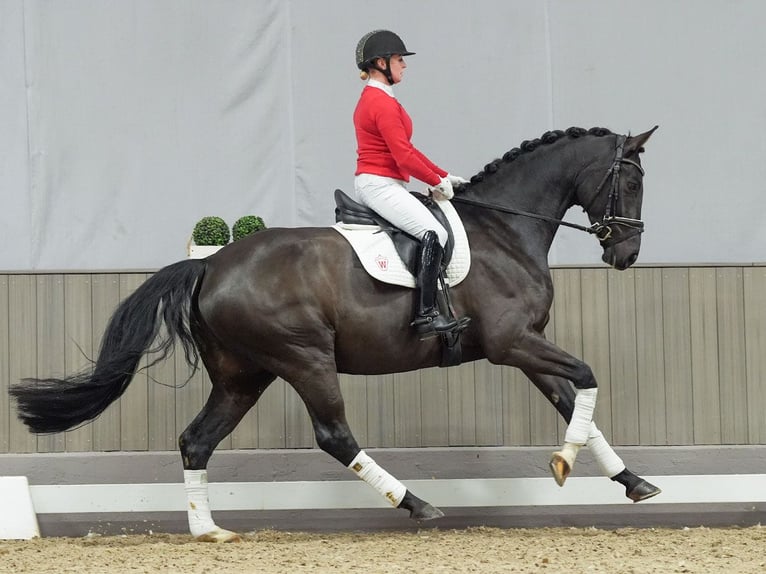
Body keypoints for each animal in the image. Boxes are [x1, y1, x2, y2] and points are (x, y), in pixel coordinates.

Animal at [10, 127, 660, 544]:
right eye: (631, 183)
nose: (626, 255)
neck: (505, 230)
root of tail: (210, 265)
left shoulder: (524, 347)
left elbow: (575, 404)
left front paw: (630, 482)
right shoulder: (510, 343)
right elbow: (587, 378)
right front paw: (567, 464)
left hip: (243, 376)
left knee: (197, 440)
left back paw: (209, 531)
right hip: (304, 358)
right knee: (334, 435)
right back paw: (417, 505)